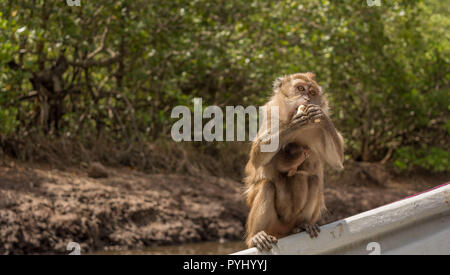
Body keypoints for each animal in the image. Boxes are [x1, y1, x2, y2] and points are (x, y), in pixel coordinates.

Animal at [243, 73, 344, 252]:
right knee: (266, 185)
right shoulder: (271, 116)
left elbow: (337, 161)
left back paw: (303, 225)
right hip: (273, 225)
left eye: (312, 92)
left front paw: (321, 115)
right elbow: (257, 157)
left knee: (313, 179)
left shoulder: (319, 130)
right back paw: (256, 236)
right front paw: (294, 124)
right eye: (300, 88)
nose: (307, 98)